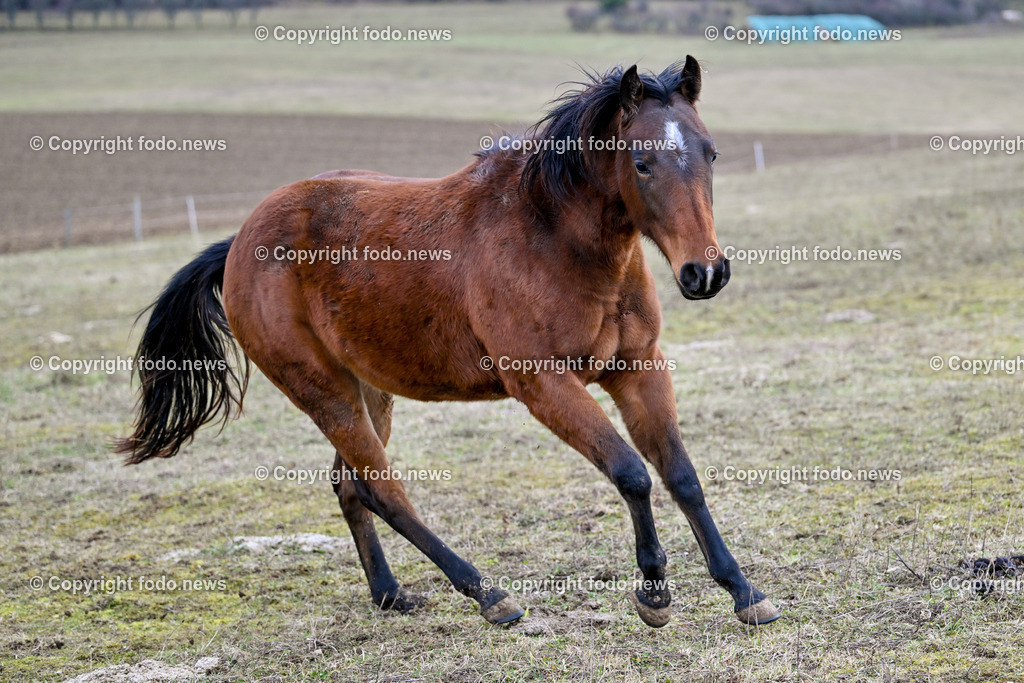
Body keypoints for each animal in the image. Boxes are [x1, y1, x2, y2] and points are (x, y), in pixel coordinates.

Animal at [117, 57, 780, 628]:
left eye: (711, 153)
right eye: (642, 162)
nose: (705, 273)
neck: (553, 238)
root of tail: (238, 244)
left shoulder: (638, 368)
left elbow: (681, 476)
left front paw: (744, 591)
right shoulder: (543, 383)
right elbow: (632, 473)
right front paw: (654, 593)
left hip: (368, 390)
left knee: (351, 485)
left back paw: (391, 594)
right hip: (322, 390)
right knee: (383, 489)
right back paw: (487, 594)